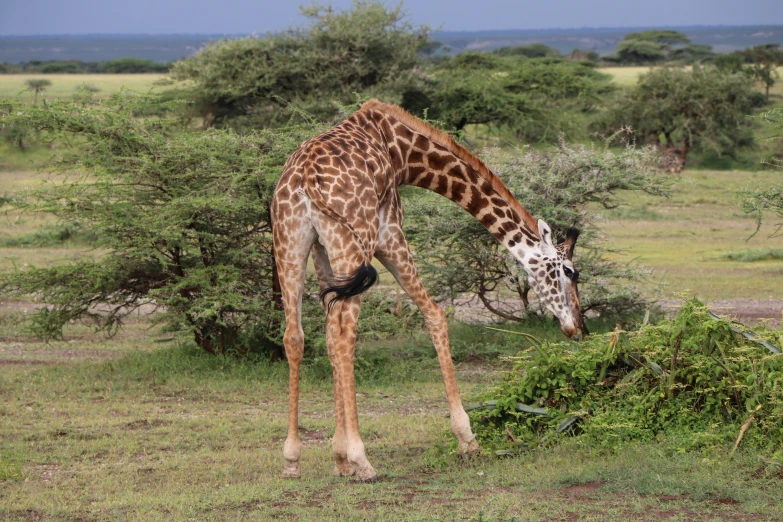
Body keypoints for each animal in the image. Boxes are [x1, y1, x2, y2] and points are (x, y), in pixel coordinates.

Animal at [272, 98, 584, 480]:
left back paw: (292, 459)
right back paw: (363, 459)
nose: (576, 327)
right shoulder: (389, 233)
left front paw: (338, 457)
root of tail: (304, 180)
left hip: (289, 243)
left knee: (295, 336)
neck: (402, 151)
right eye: (570, 271)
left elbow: (326, 339)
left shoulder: (321, 254)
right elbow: (435, 314)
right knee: (346, 333)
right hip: (352, 244)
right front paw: (467, 439)